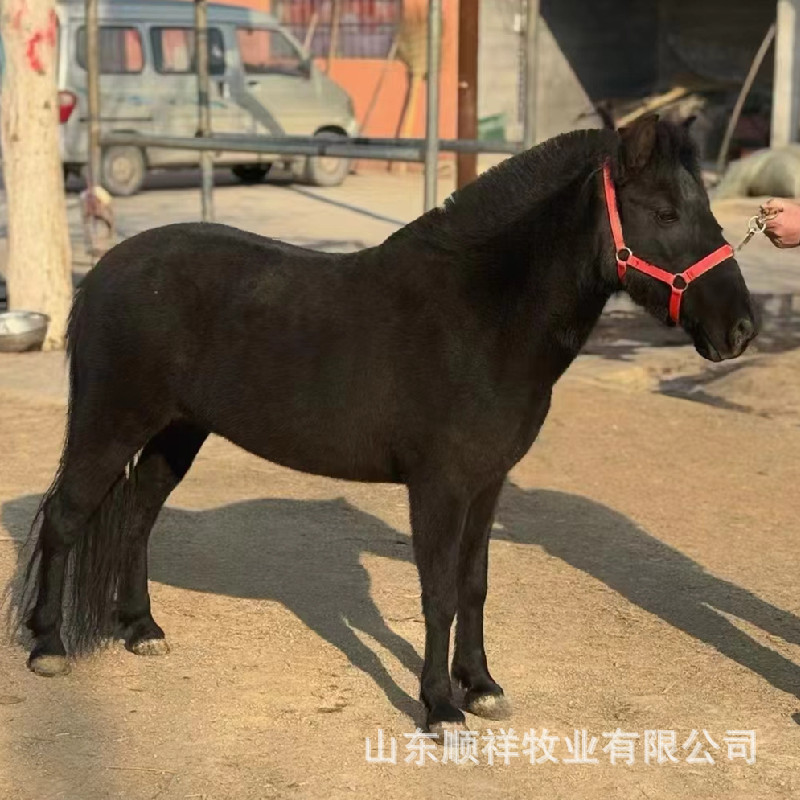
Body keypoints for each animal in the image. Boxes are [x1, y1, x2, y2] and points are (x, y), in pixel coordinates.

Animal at [16, 115, 756, 736]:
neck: (479, 316)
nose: (741, 329)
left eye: (705, 209)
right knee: (68, 517)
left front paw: (481, 686)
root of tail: (106, 268)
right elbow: (439, 592)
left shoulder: (487, 484)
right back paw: (48, 644)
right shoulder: (439, 487)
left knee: (138, 513)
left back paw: (143, 629)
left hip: (178, 432)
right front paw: (438, 706)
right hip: (110, 424)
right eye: (664, 213)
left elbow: (475, 584)